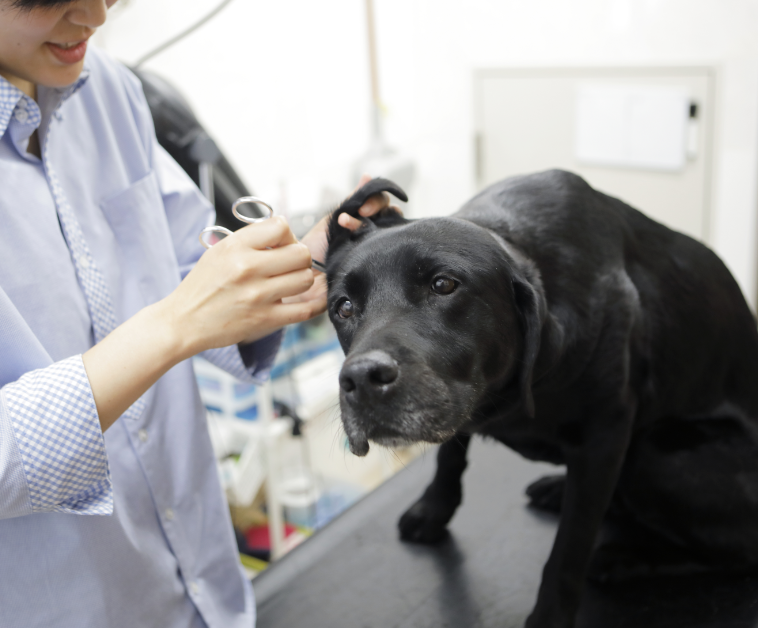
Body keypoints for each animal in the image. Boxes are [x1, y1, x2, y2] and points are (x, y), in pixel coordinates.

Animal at [324, 172, 758, 628]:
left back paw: (625, 560)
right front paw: (434, 510)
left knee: (742, 552)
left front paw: (550, 615)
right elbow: (450, 455)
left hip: (655, 452)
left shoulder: (606, 436)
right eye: (344, 307)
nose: (361, 378)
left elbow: (571, 545)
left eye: (443, 285)